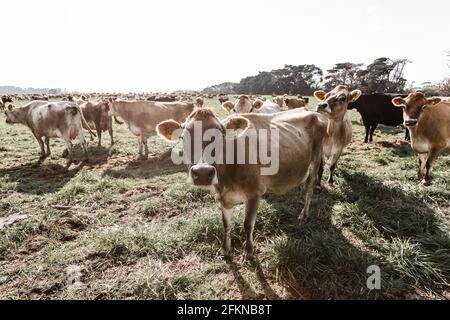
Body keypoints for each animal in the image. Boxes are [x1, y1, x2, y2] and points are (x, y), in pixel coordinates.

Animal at [157, 109, 326, 258]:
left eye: (221, 136)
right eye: (183, 137)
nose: (203, 173)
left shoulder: (254, 193)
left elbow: (248, 224)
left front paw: (249, 251)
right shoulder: (223, 197)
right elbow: (226, 224)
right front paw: (225, 249)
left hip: (316, 159)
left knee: (310, 187)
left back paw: (304, 213)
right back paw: (300, 199)